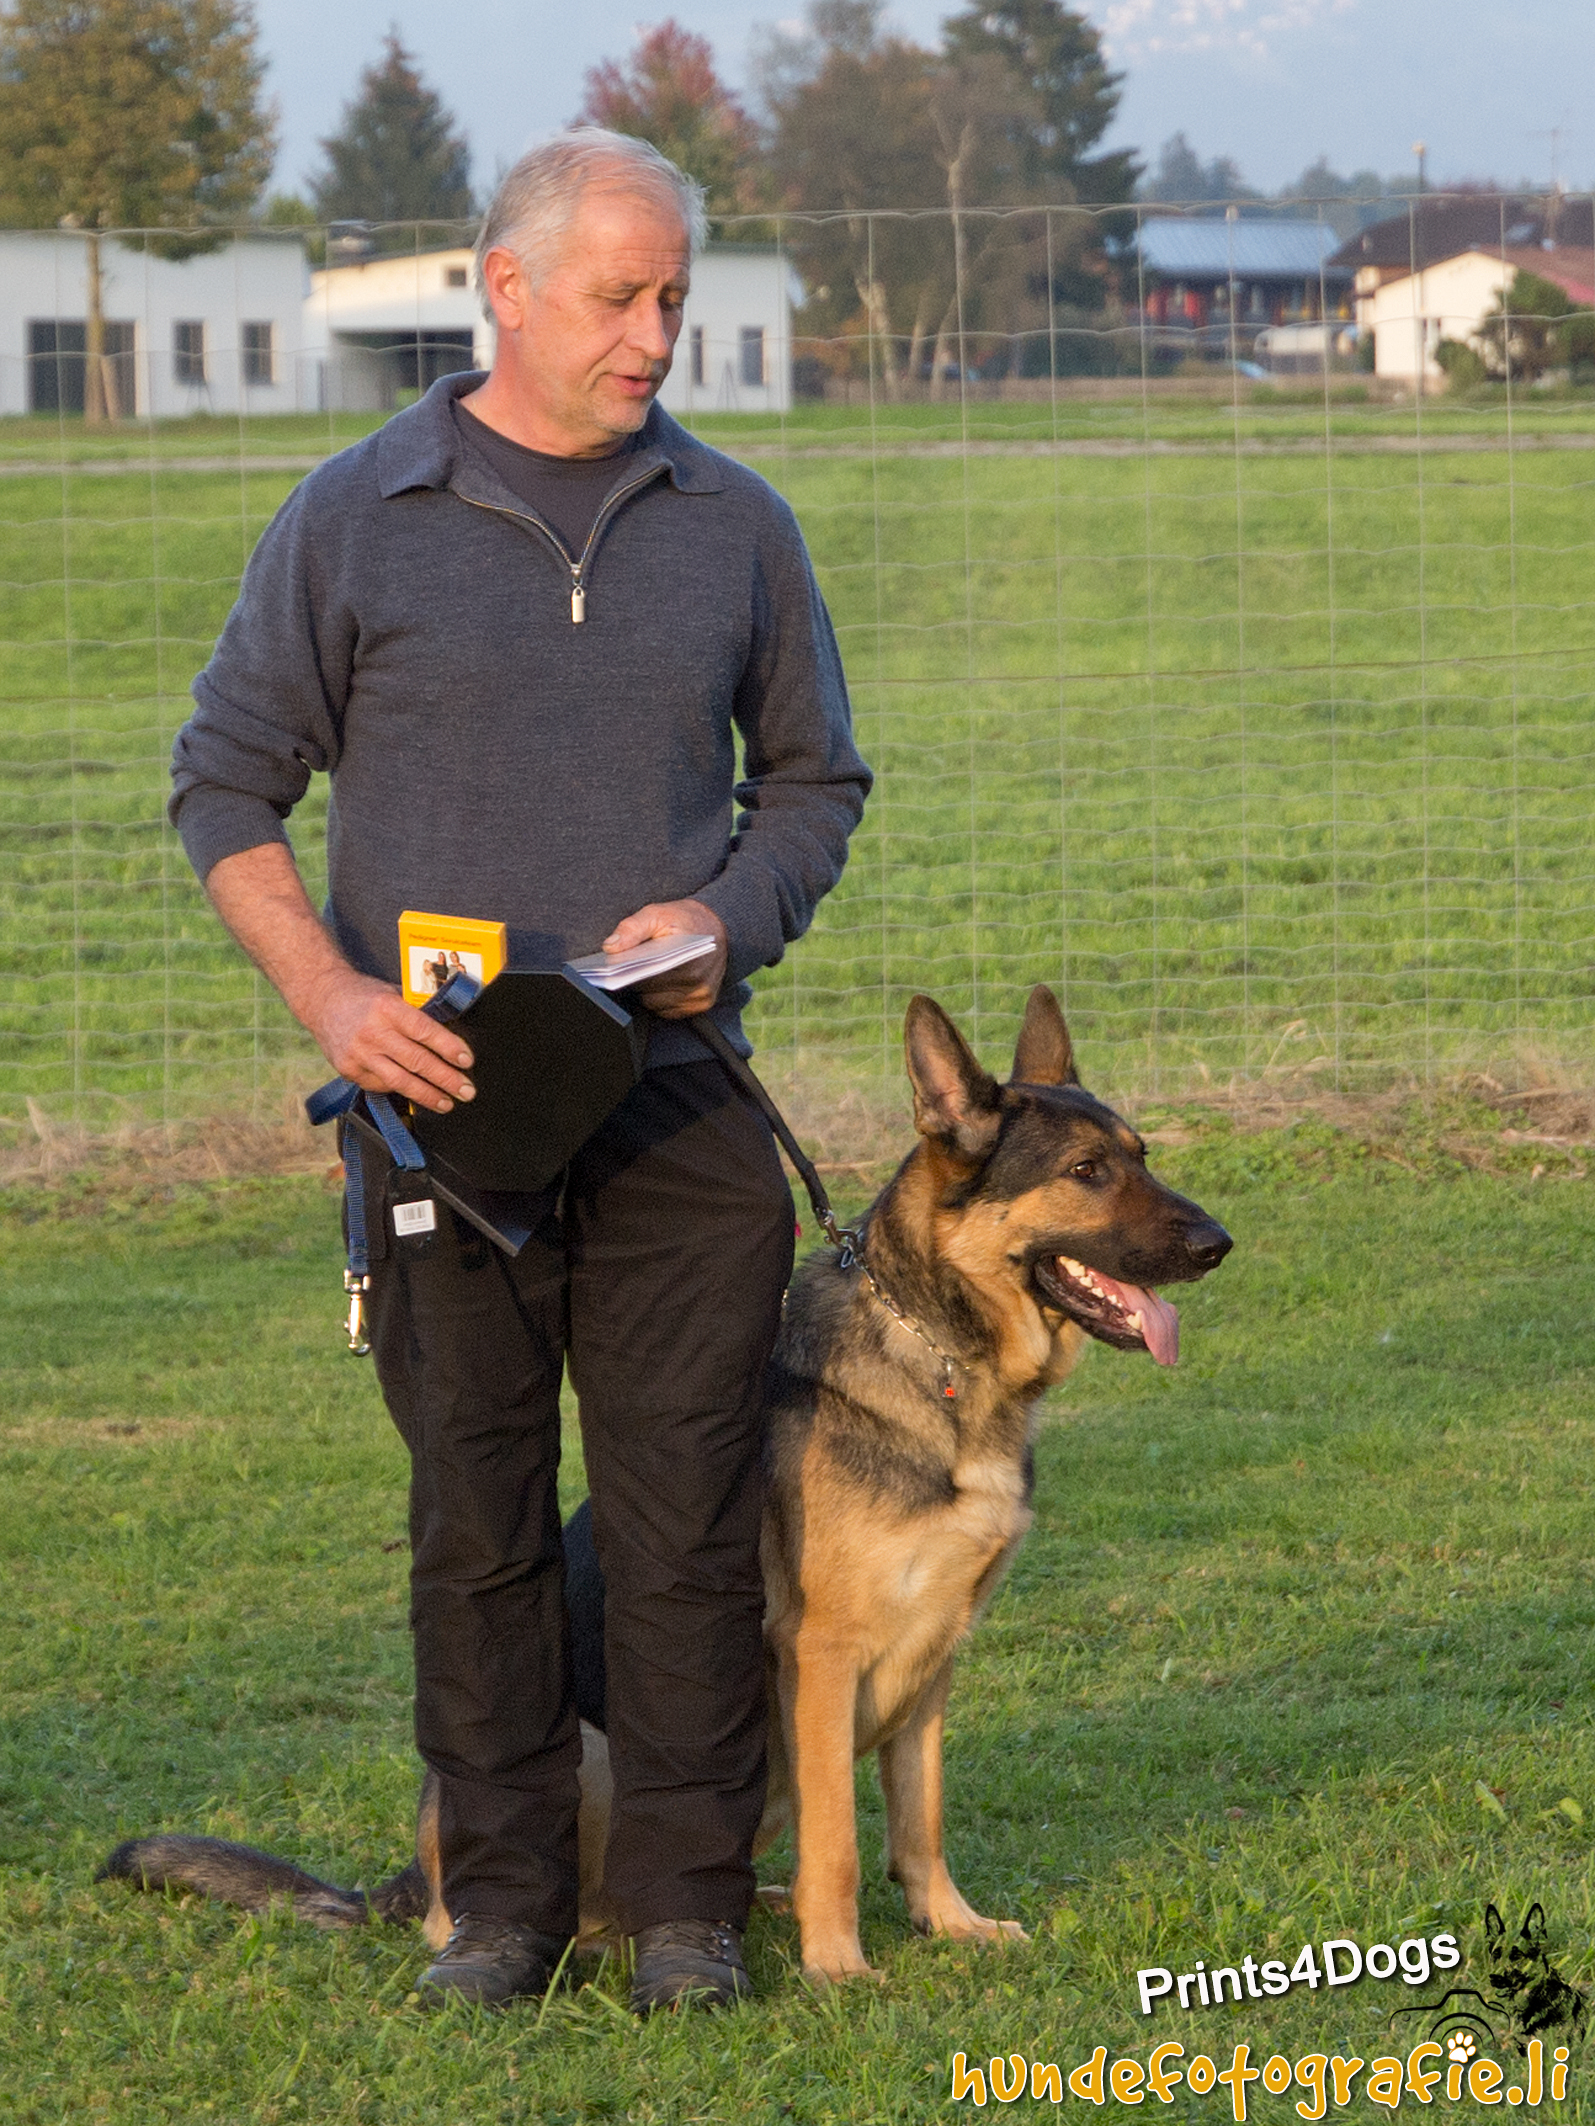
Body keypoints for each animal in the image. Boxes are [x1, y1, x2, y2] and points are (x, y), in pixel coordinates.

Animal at [102, 985, 1231, 1986]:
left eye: (1139, 1157)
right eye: (1086, 1171)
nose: (1218, 1244)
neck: (941, 1358)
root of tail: (403, 1878)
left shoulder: (934, 1662)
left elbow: (921, 1819)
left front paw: (948, 1925)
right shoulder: (823, 1658)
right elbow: (841, 1838)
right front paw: (839, 1964)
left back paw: (742, 1906)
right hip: (598, 1751)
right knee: (542, 1907)